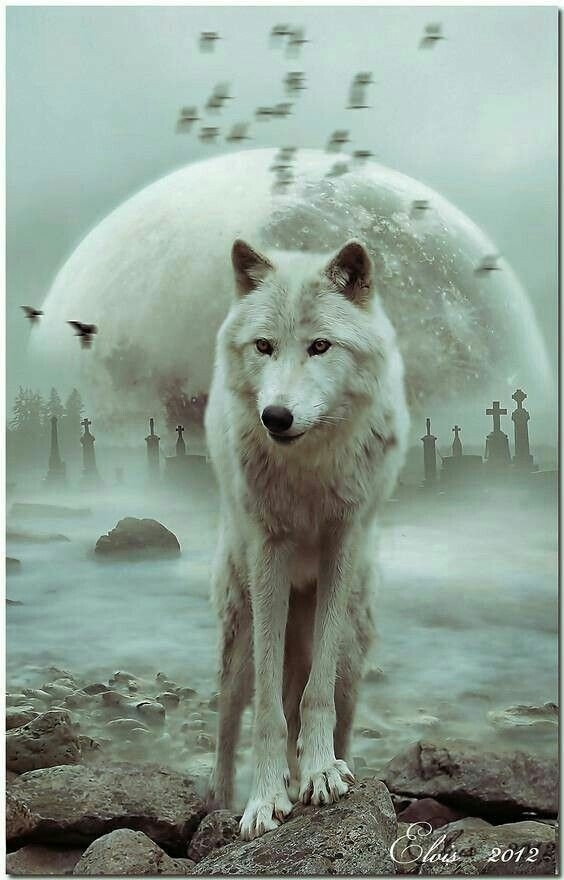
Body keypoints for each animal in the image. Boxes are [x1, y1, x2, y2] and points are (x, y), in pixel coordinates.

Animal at [204, 237, 409, 840]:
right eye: (264, 346)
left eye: (320, 346)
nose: (276, 416)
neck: (310, 468)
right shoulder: (269, 553)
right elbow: (268, 713)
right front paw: (264, 800)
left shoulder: (340, 544)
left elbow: (313, 698)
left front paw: (319, 774)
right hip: (240, 631)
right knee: (229, 720)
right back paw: (220, 802)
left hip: (354, 650)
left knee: (327, 702)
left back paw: (329, 768)